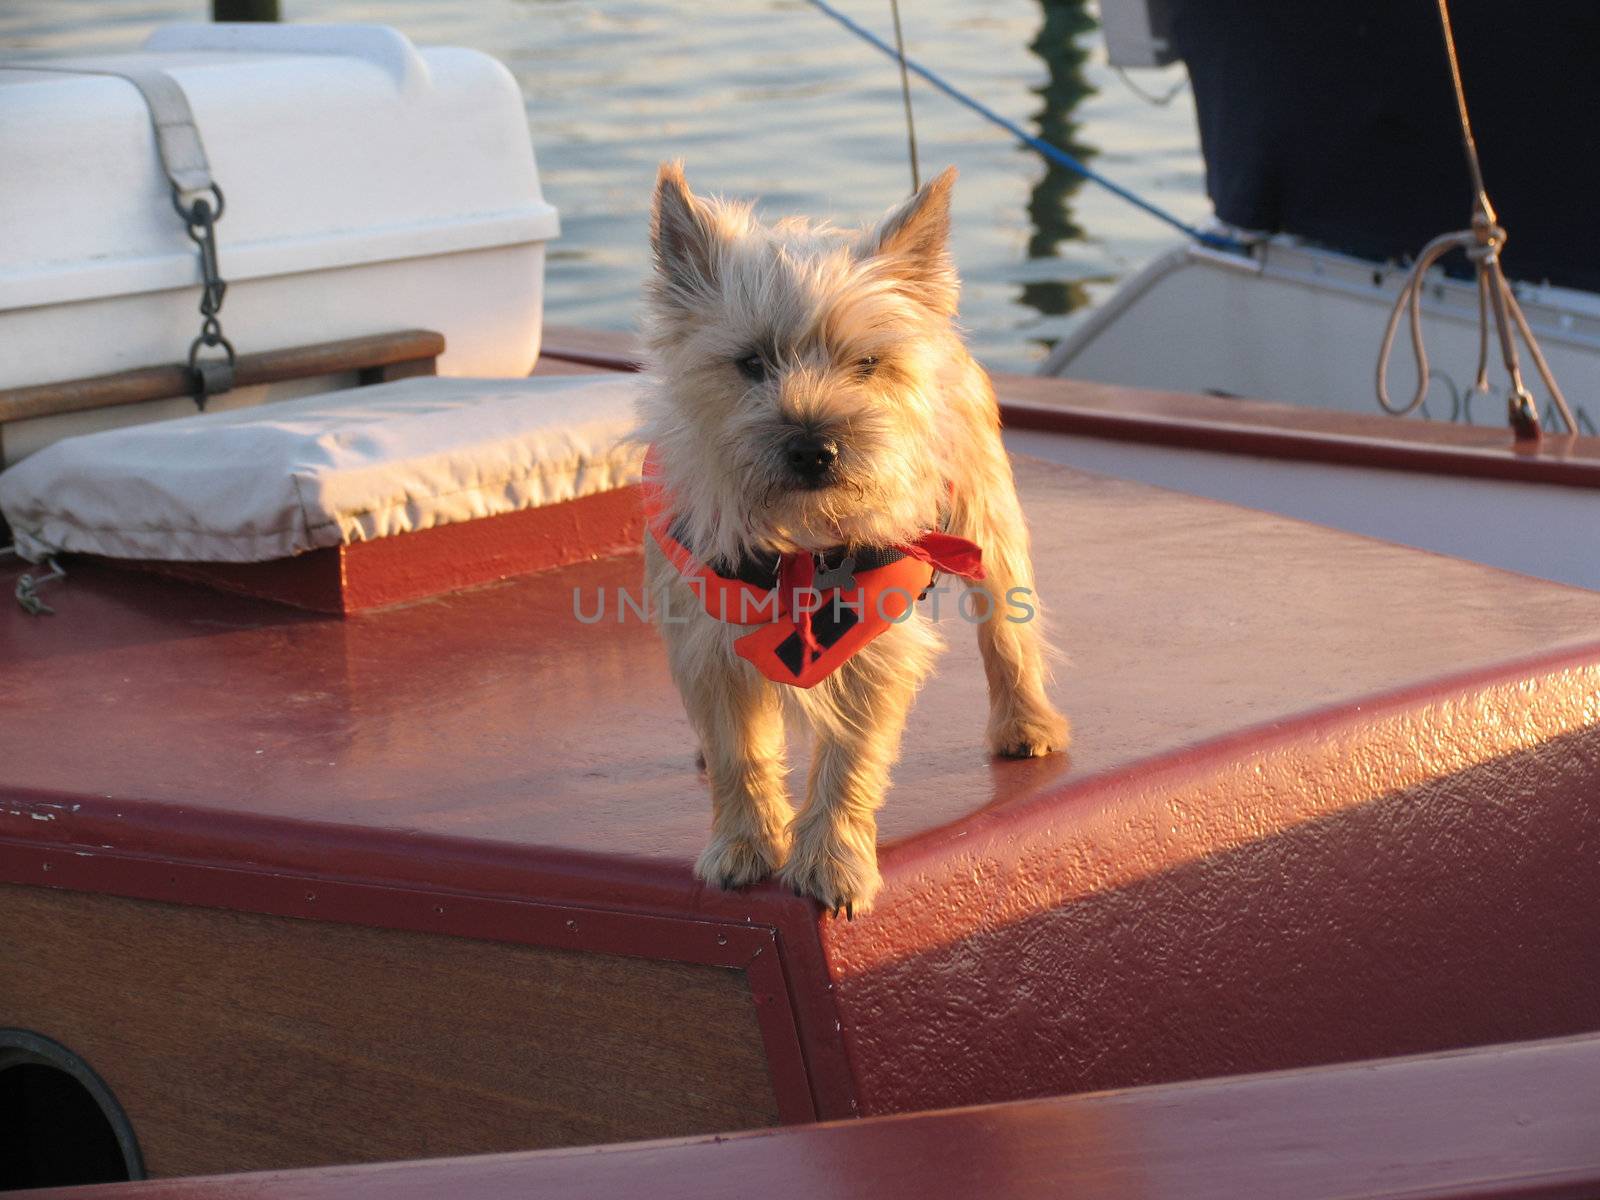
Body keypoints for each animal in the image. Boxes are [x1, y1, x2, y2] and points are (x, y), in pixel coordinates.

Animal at [633, 164, 1062, 915]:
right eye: (751, 362)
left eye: (865, 364)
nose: (815, 447)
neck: (799, 540)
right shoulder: (705, 639)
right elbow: (740, 751)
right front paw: (744, 844)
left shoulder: (873, 644)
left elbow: (851, 759)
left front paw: (831, 861)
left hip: (987, 519)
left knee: (1006, 629)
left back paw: (1027, 724)